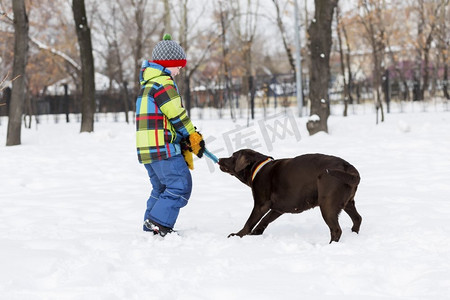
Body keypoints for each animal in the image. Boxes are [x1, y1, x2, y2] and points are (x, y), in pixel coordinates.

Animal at [218, 149, 362, 243]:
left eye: (233, 156)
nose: (219, 159)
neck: (258, 168)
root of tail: (349, 168)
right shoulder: (278, 209)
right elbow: (264, 220)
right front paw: (256, 233)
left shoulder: (260, 205)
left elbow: (249, 222)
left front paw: (237, 235)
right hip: (348, 203)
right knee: (357, 219)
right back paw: (354, 235)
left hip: (327, 205)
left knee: (336, 230)